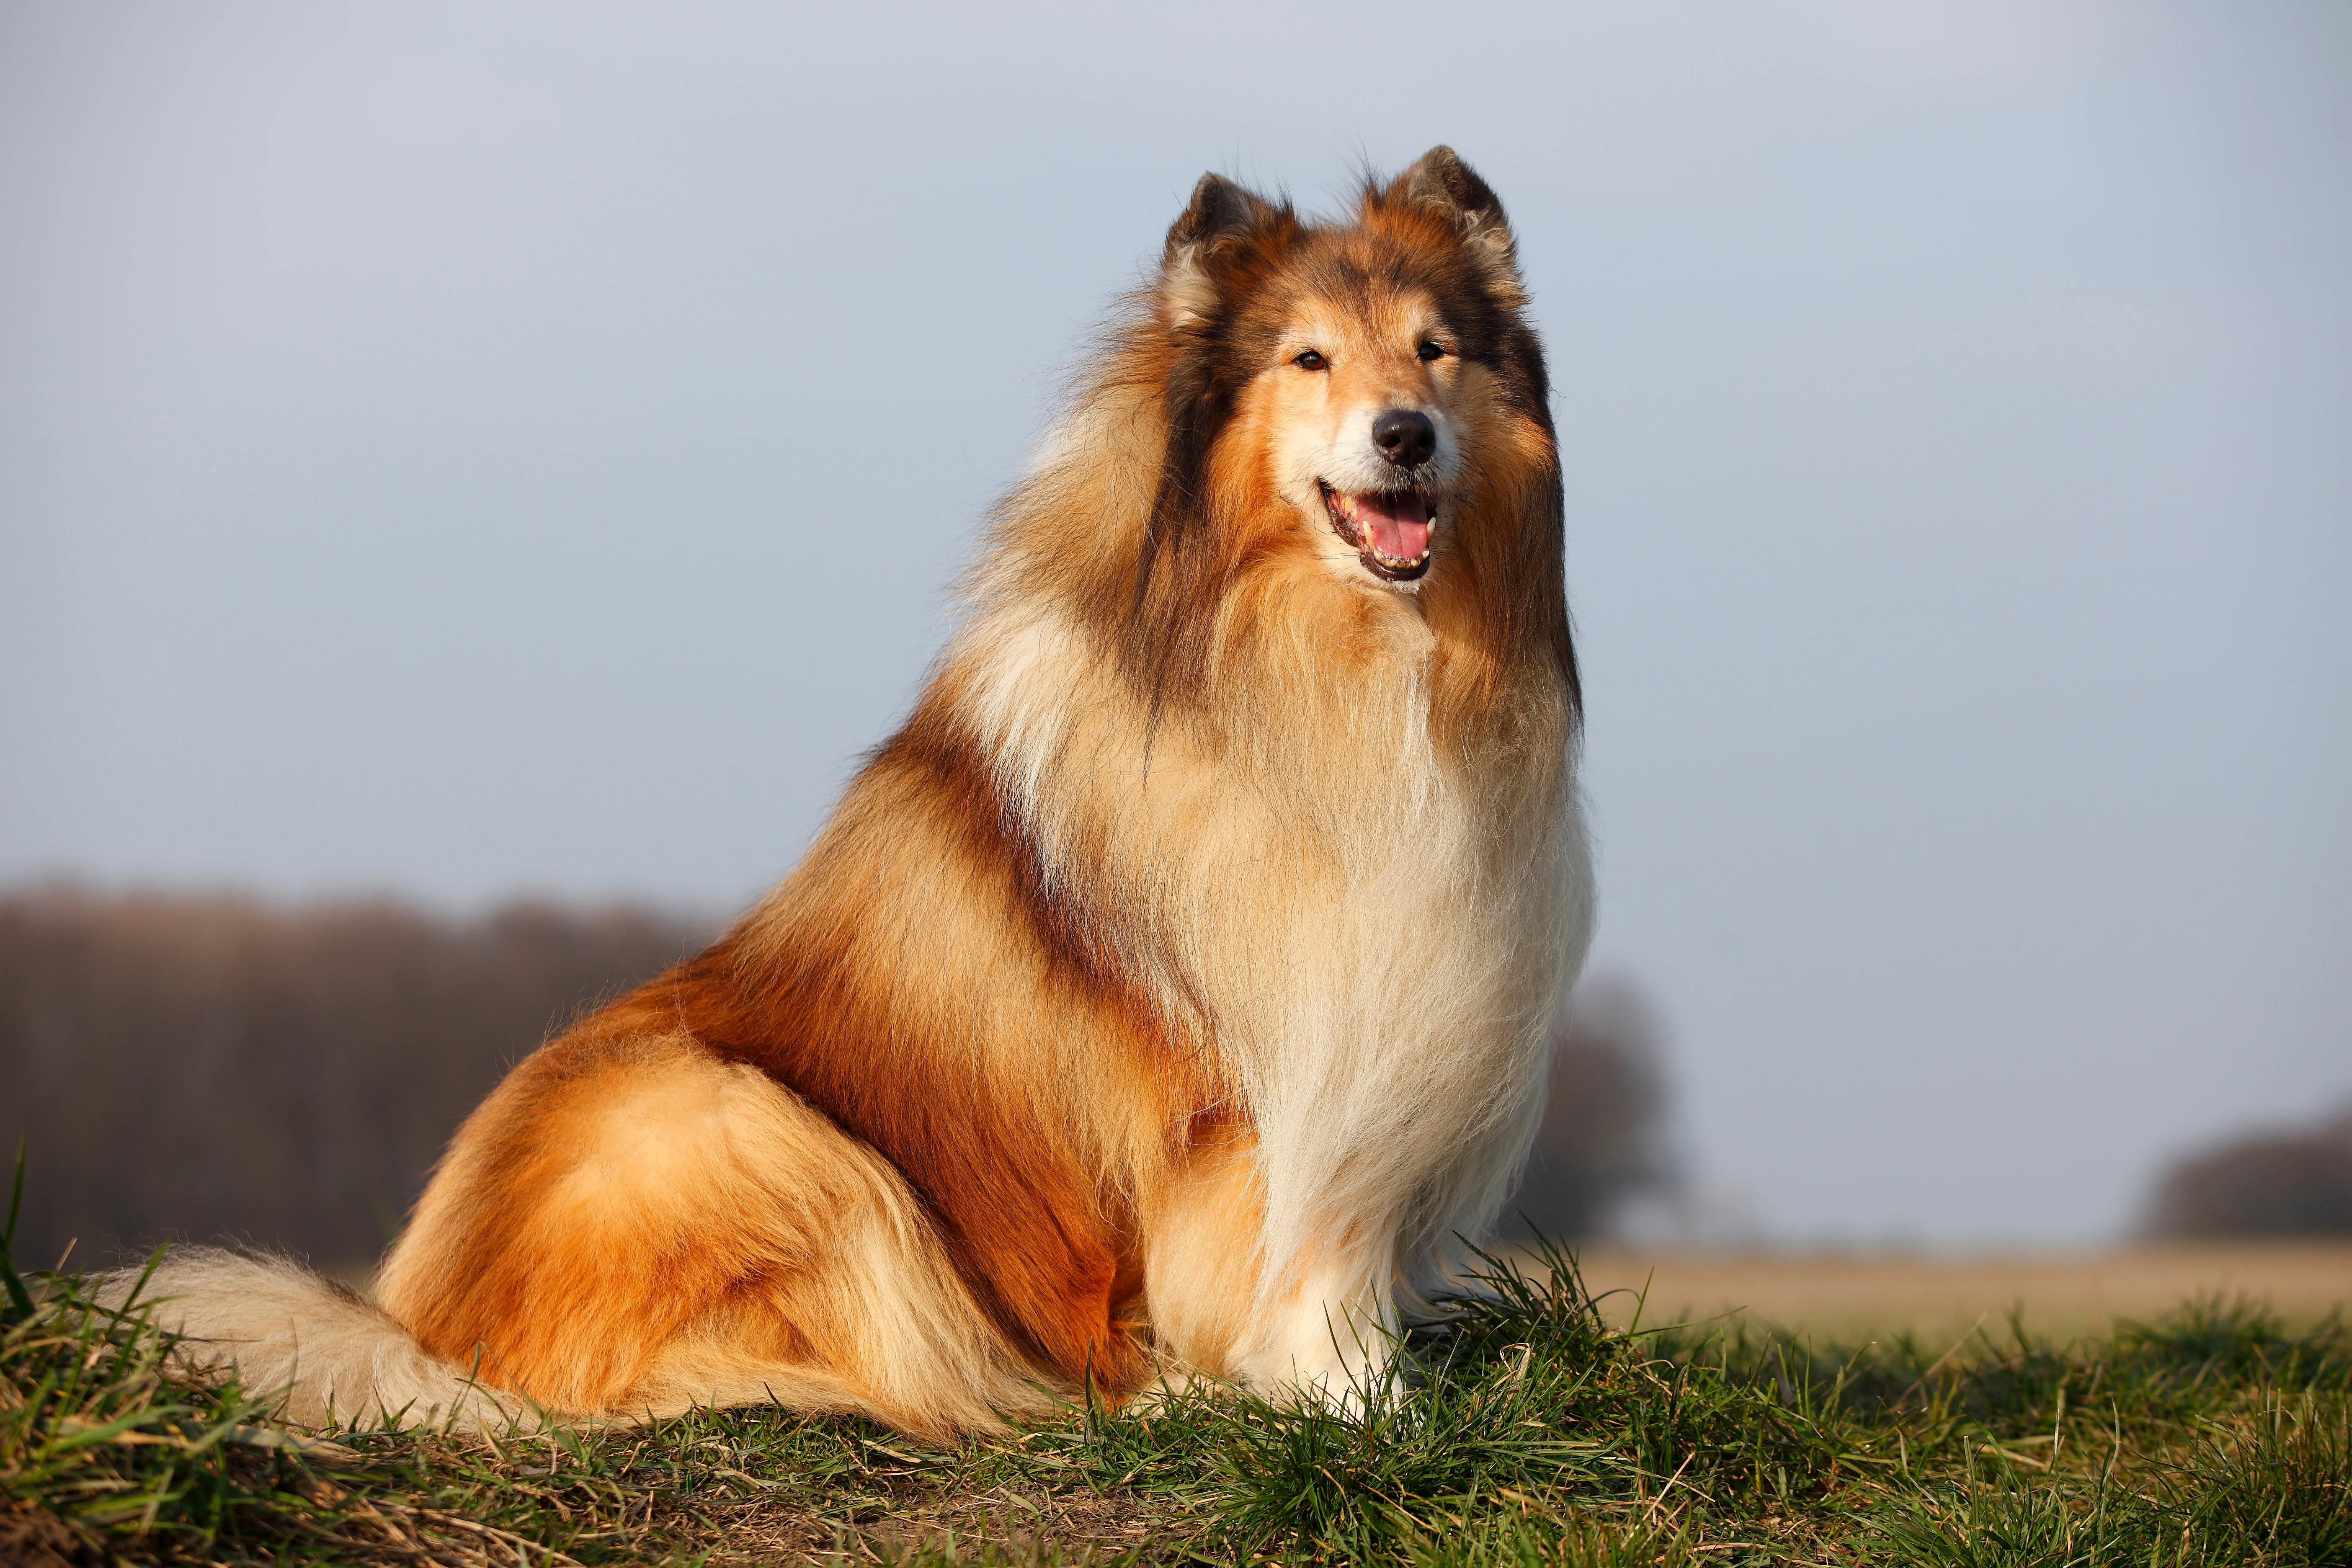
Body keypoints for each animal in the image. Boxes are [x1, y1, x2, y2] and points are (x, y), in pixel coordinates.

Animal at [133, 150, 1599, 1448]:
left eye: (1437, 351)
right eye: (1308, 361)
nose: (1405, 435)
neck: (1347, 664)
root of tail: (410, 1329)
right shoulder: (1254, 1072)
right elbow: (1302, 1259)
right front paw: (1350, 1404)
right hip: (741, 1127)